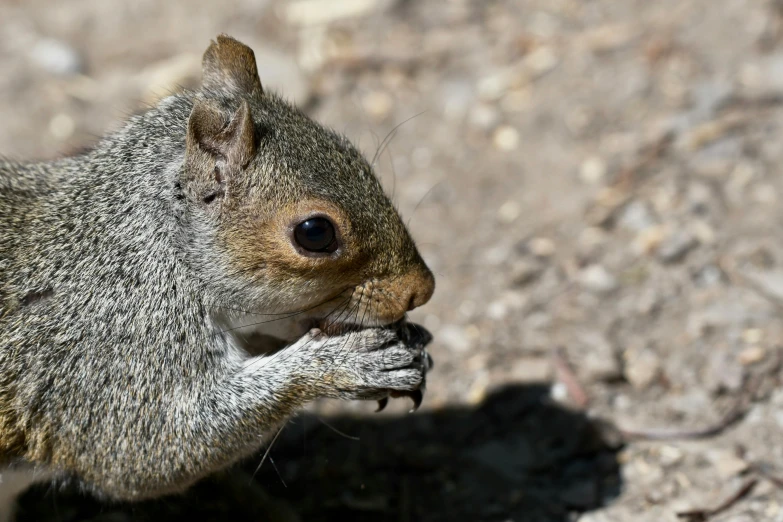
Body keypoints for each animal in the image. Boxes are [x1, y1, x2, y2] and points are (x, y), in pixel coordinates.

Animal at [0, 34, 434, 516]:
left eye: (356, 158)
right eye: (315, 232)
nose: (421, 290)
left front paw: (409, 340)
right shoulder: (110, 358)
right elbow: (148, 449)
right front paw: (343, 364)